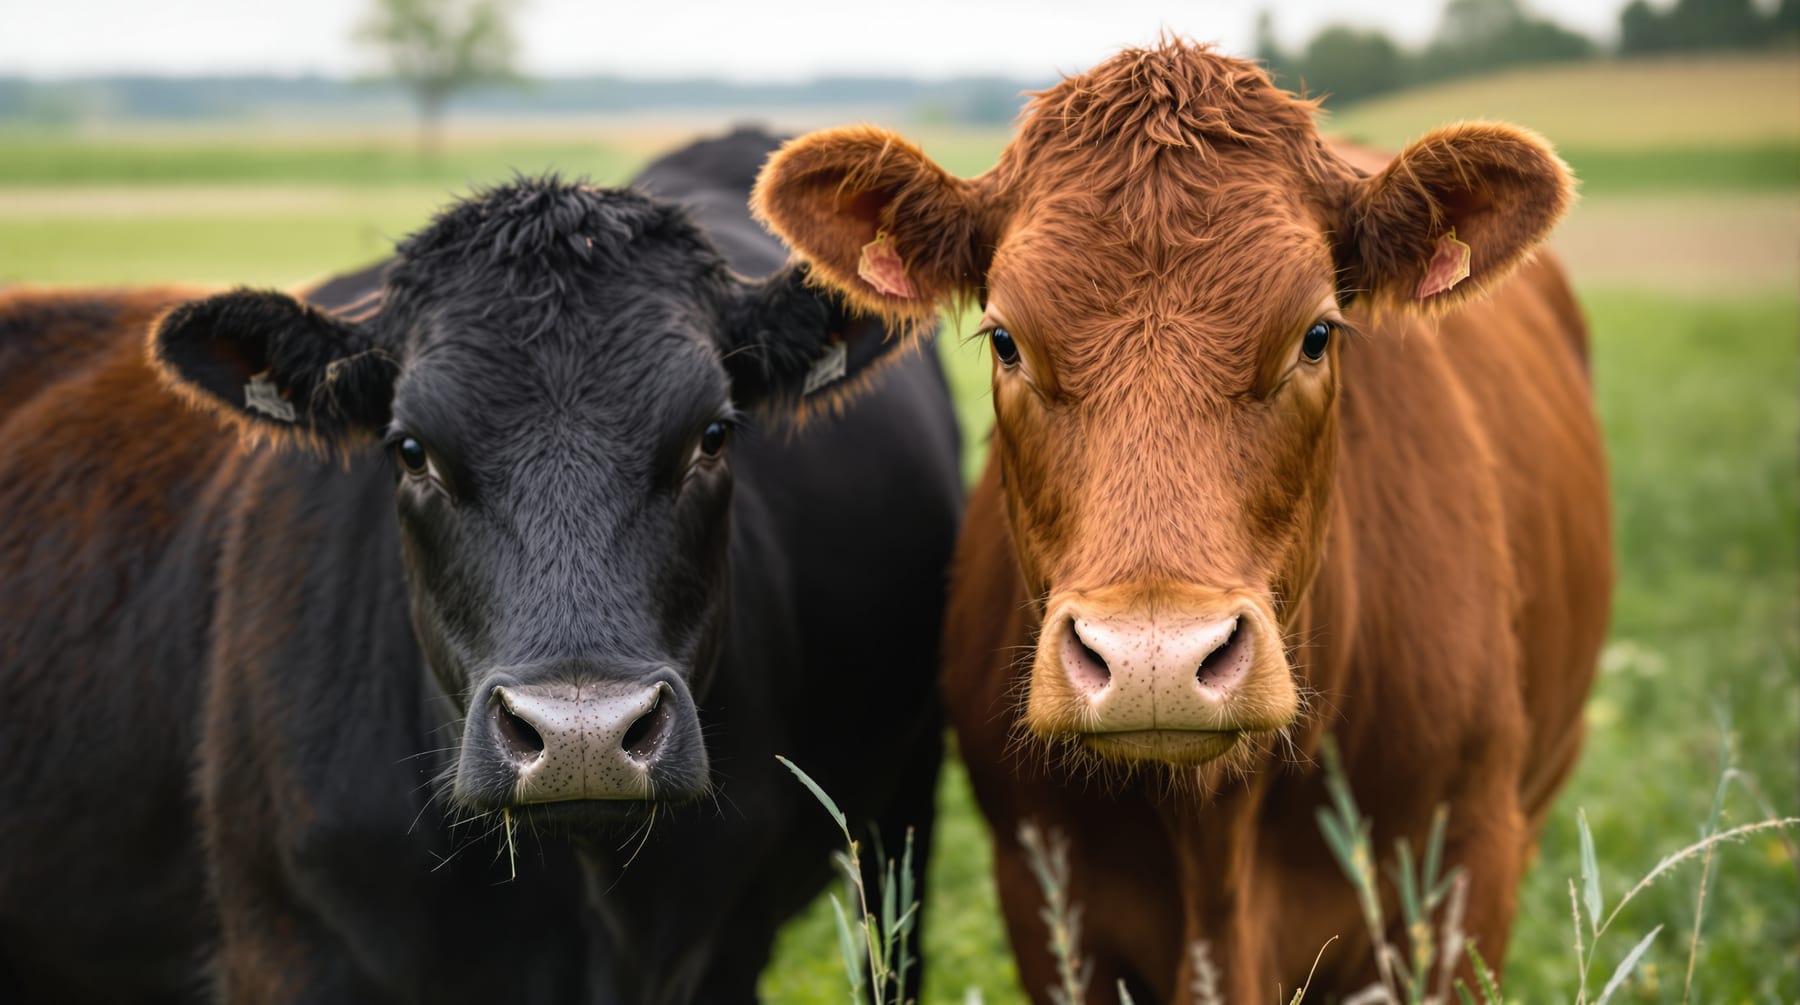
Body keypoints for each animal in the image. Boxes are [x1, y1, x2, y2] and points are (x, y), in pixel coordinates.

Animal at [753, 40, 1611, 1002]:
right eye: (1006, 339)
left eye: (1317, 334)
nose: (1153, 661)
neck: (1216, 837)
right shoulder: (1044, 895)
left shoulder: (1466, 873)